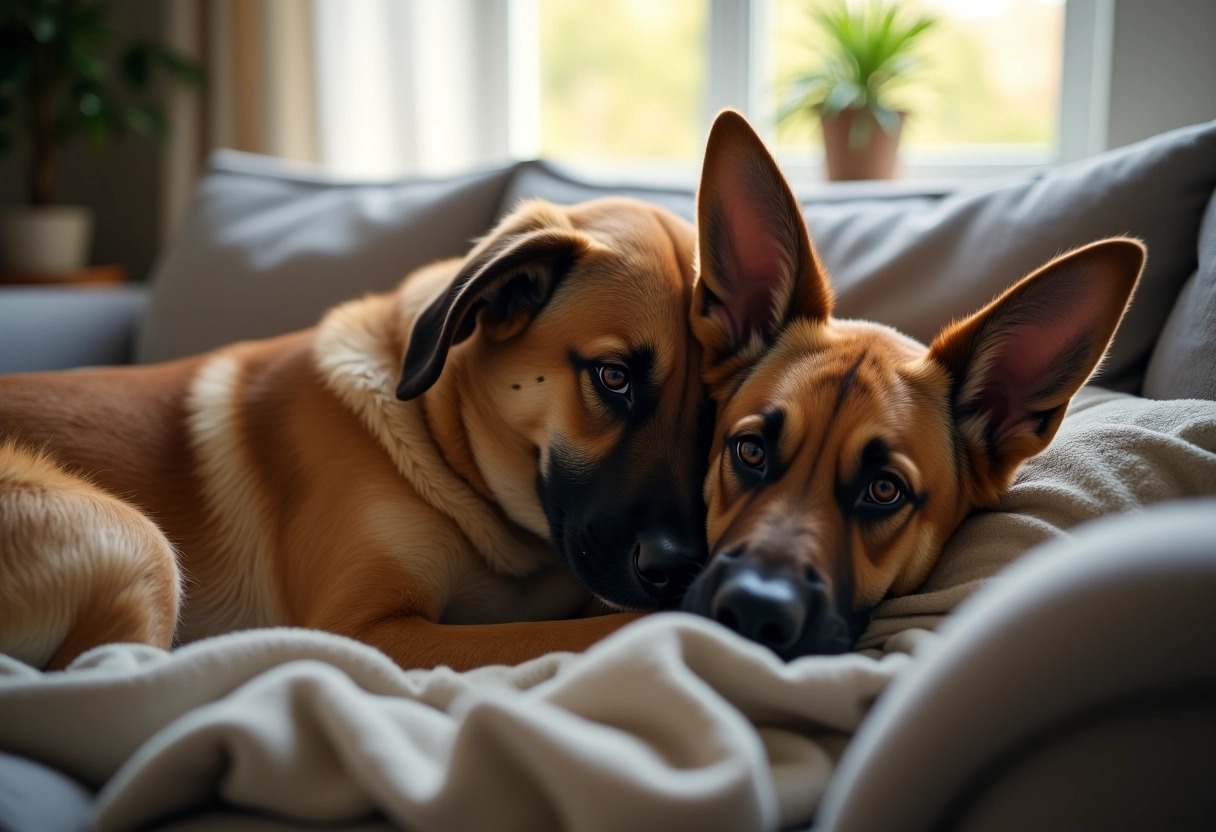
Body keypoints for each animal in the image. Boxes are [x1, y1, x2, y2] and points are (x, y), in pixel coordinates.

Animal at [0, 194, 710, 671]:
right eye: (613, 377)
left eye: (715, 398)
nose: (679, 565)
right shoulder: (360, 630)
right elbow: (600, 631)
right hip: (138, 539)